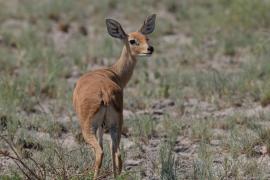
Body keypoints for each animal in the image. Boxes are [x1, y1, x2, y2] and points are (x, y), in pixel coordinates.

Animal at [73, 14, 156, 179]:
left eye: (146, 38)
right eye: (132, 40)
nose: (150, 49)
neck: (113, 73)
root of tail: (105, 93)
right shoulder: (104, 125)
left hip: (88, 127)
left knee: (100, 152)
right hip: (115, 124)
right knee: (117, 152)